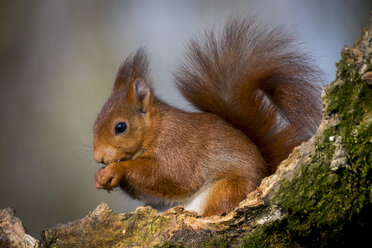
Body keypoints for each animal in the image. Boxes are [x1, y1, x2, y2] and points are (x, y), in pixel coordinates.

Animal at [93, 18, 322, 216]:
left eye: (120, 127)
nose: (99, 158)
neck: (155, 129)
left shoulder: (177, 146)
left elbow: (169, 175)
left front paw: (116, 169)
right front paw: (100, 176)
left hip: (227, 190)